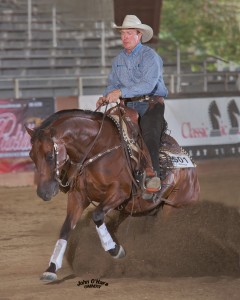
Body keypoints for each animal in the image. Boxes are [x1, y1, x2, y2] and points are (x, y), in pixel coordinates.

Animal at [25, 105, 201, 282]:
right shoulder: (78, 197)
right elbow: (66, 227)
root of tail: (190, 167)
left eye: (49, 155)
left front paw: (115, 250)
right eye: (31, 156)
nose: (43, 192)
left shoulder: (119, 193)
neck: (97, 149)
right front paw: (51, 268)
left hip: (176, 207)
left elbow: (97, 215)